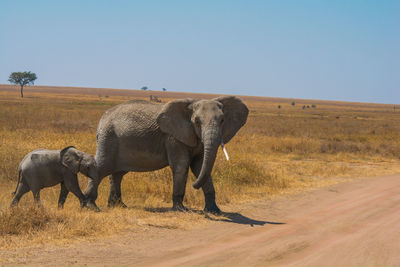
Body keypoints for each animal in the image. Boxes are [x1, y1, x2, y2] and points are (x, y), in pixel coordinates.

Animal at [84, 96, 247, 214]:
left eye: (222, 120)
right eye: (197, 121)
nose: (194, 185)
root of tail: (102, 119)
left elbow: (199, 166)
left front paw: (215, 211)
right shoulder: (173, 137)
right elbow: (181, 166)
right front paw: (181, 210)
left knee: (118, 174)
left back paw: (118, 206)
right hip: (108, 138)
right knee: (102, 167)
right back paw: (91, 207)